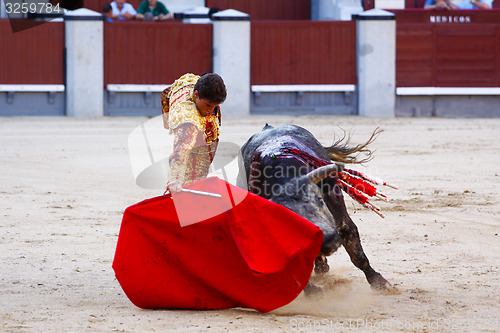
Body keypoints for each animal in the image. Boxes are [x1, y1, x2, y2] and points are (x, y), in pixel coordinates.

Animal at [236, 124, 392, 290]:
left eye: (320, 200)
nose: (329, 242)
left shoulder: (340, 218)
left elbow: (356, 251)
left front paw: (380, 283)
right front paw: (312, 291)